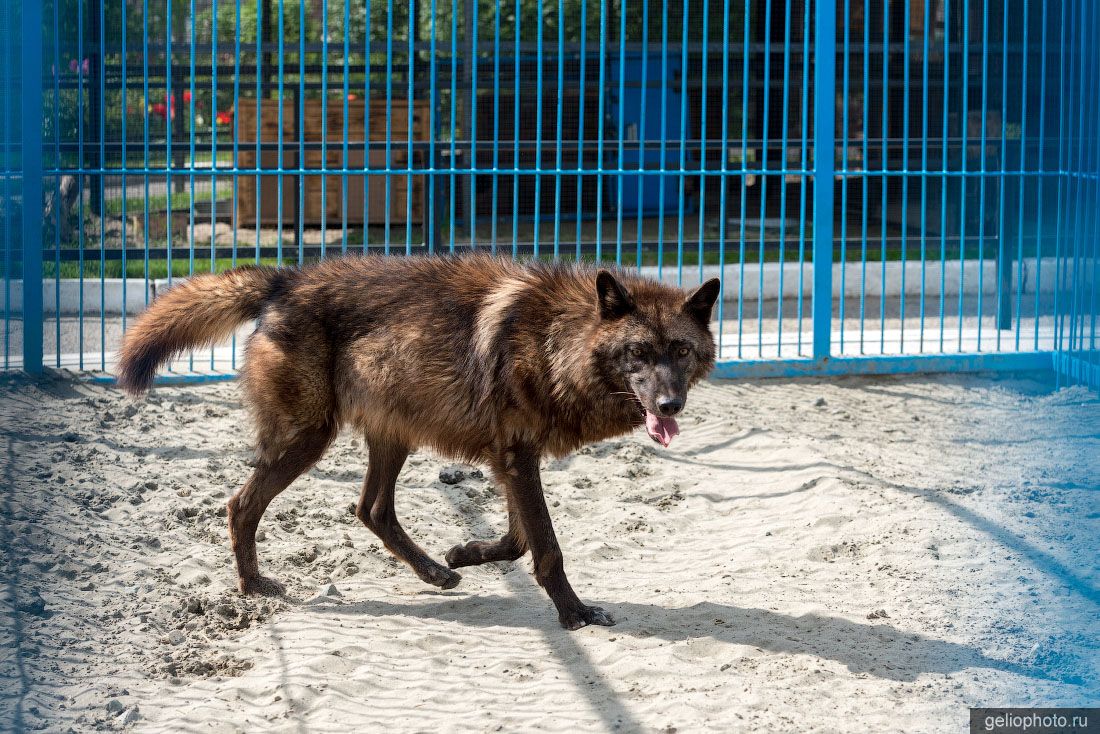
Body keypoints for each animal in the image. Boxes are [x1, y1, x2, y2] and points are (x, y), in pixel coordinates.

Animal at [118, 255, 721, 629]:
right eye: (637, 353)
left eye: (681, 351)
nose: (669, 406)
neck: (557, 341)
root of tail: (284, 279)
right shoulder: (517, 458)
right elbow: (546, 546)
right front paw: (574, 614)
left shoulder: (511, 459)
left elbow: (518, 540)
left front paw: (466, 552)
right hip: (310, 439)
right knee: (242, 504)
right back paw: (254, 585)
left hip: (392, 438)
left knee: (371, 509)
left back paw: (434, 570)